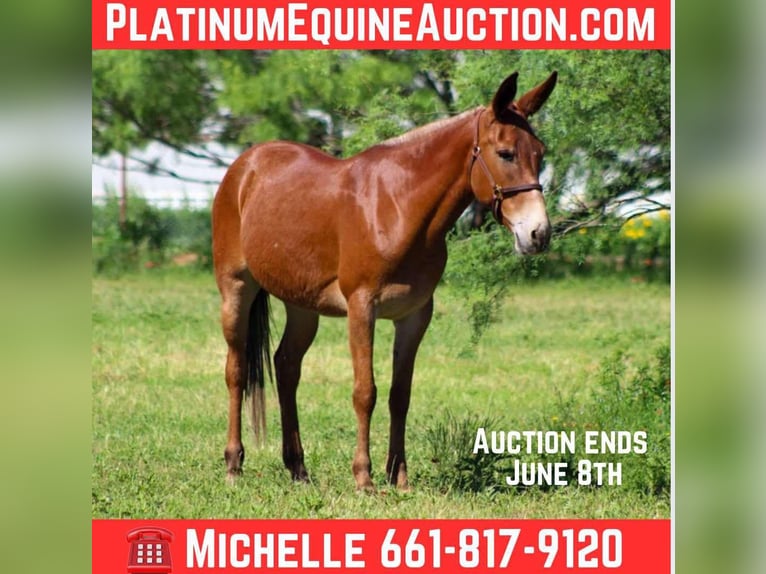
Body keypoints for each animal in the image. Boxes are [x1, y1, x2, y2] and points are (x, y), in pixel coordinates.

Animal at [212, 70, 557, 491]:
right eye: (506, 153)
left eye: (540, 153)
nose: (538, 234)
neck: (397, 207)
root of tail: (245, 166)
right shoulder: (363, 309)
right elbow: (366, 392)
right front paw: (364, 478)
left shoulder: (414, 316)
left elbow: (399, 394)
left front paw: (400, 477)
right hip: (236, 289)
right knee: (237, 370)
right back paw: (234, 464)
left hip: (301, 305)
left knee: (286, 366)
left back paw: (298, 469)